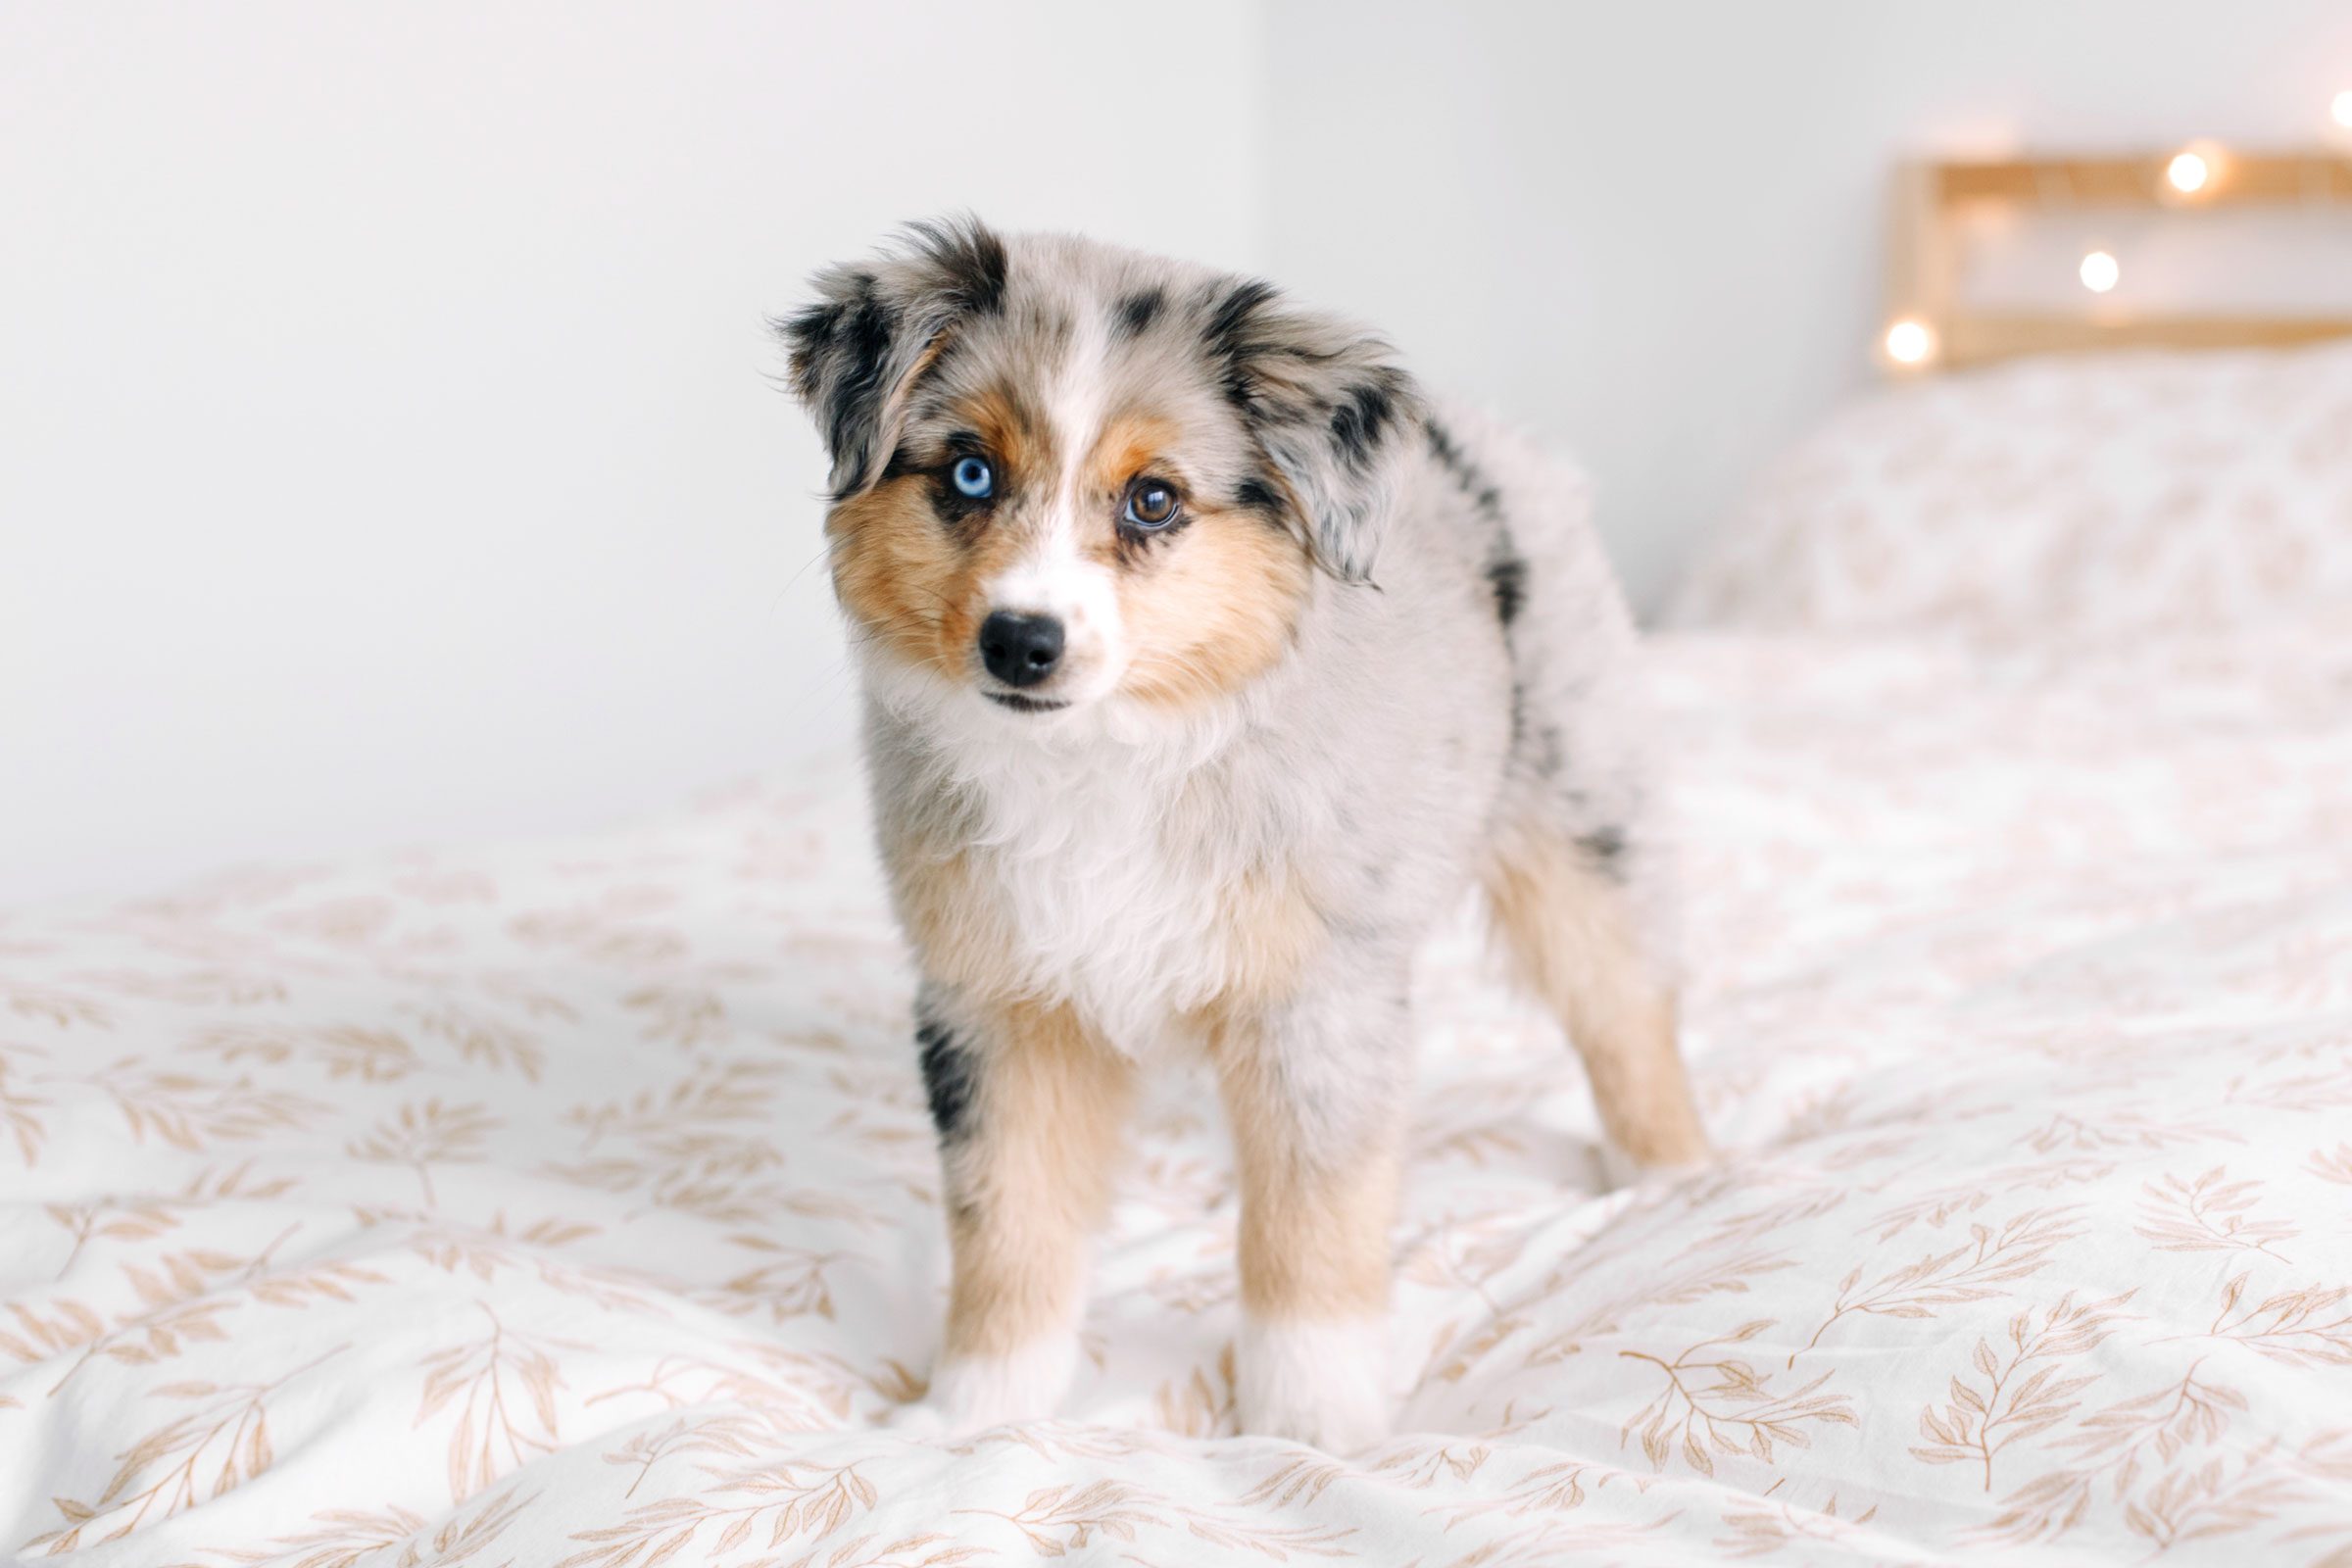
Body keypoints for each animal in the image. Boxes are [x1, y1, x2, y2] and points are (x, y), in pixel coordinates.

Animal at [780, 215, 1702, 1457]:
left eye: (1154, 500)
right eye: (971, 471)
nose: (1021, 642)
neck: (1106, 757)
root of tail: (1477, 437)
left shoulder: (1319, 997)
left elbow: (1311, 1223)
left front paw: (1309, 1425)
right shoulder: (998, 1002)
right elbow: (1008, 1221)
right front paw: (978, 1411)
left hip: (1579, 801)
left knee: (1624, 1001)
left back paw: (1673, 1179)